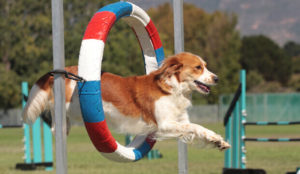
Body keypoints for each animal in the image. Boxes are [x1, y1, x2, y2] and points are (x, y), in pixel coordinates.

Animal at [22, 52, 230, 150]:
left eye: (205, 66)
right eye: (198, 67)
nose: (217, 78)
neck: (172, 88)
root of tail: (65, 70)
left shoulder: (179, 121)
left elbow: (199, 128)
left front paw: (218, 140)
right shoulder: (163, 125)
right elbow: (194, 127)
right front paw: (216, 139)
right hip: (67, 107)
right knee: (55, 124)